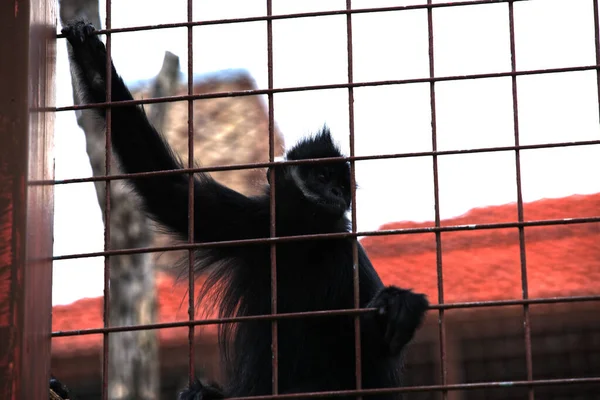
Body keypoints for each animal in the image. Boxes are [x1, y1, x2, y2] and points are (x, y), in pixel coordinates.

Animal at [63, 20, 428, 400]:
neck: (299, 242)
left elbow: (370, 363)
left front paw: (397, 309)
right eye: (321, 176)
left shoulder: (344, 252)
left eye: (341, 186)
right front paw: (92, 61)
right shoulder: (252, 225)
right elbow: (169, 189)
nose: (334, 193)